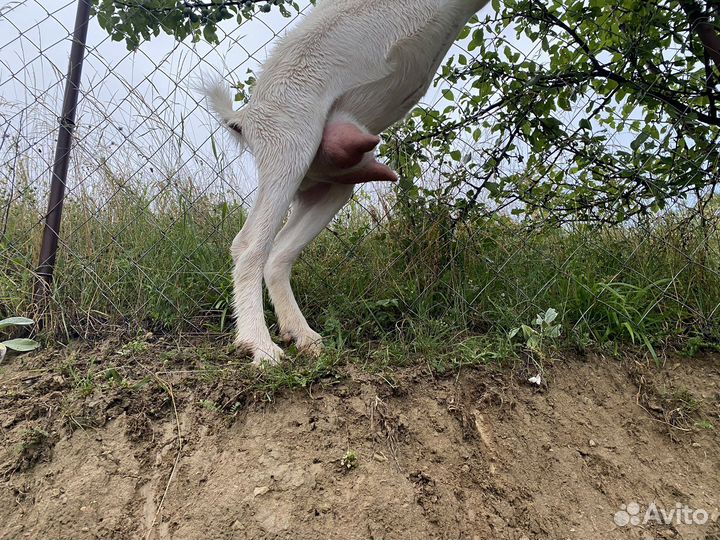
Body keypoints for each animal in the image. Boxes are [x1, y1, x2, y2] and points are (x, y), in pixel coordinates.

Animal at [207, 0, 490, 365]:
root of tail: (243, 118)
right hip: (290, 149)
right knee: (249, 244)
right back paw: (261, 345)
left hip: (331, 188)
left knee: (280, 254)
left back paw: (304, 336)